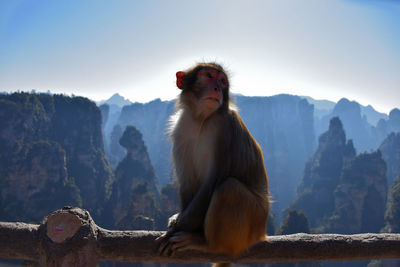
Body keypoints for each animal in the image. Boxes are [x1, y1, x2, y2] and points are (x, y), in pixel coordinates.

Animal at [155, 62, 268, 266]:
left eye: (222, 81)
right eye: (208, 76)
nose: (217, 88)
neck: (202, 119)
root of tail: (262, 231)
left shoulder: (224, 126)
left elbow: (212, 182)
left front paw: (176, 230)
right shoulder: (181, 128)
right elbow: (187, 183)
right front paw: (178, 219)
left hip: (254, 221)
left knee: (229, 188)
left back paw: (209, 245)